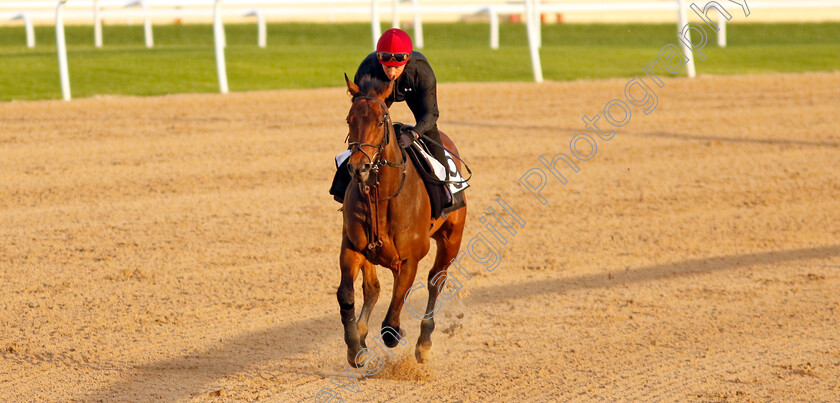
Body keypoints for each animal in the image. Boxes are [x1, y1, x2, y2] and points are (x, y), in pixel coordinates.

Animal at [336, 74, 466, 368]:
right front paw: (354, 345)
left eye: (380, 120)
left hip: (451, 239)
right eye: (350, 119)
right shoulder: (352, 246)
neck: (381, 196)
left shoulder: (409, 259)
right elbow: (346, 294)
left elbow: (390, 325)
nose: (358, 168)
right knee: (372, 288)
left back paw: (424, 343)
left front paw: (397, 333)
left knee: (435, 281)